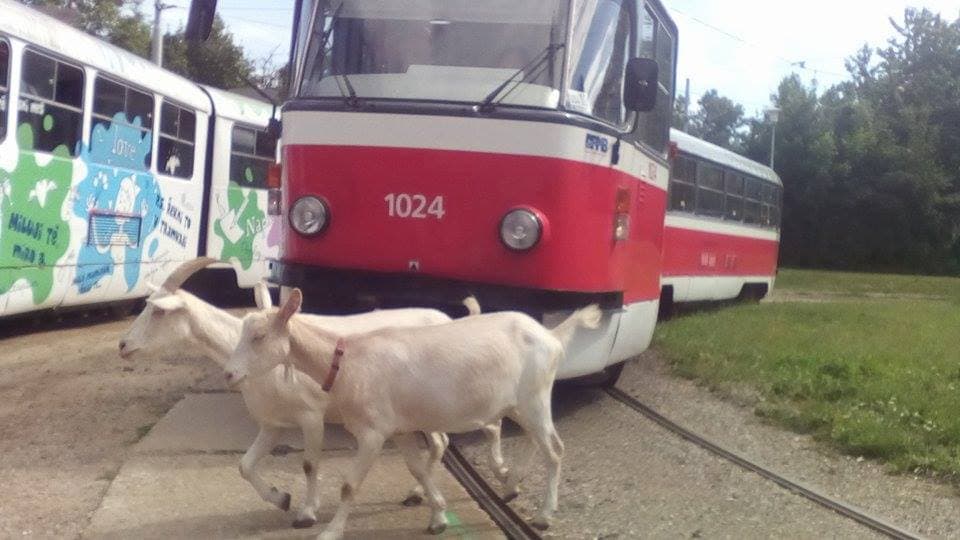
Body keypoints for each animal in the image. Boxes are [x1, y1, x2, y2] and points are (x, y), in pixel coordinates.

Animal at [118, 260, 502, 528]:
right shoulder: (272, 423)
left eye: (157, 311)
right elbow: (245, 465)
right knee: (440, 442)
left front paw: (306, 512)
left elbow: (309, 464)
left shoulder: (311, 415)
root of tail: (449, 318)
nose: (123, 345)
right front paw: (280, 498)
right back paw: (418, 494)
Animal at [225, 288, 600, 536]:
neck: (348, 360)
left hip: (534, 396)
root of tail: (550, 335)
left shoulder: (373, 432)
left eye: (259, 336)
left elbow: (348, 485)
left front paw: (329, 531)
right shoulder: (400, 429)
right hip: (519, 403)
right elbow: (418, 468)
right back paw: (509, 486)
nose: (229, 374)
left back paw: (544, 515)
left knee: (554, 450)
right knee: (538, 441)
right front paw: (437, 515)